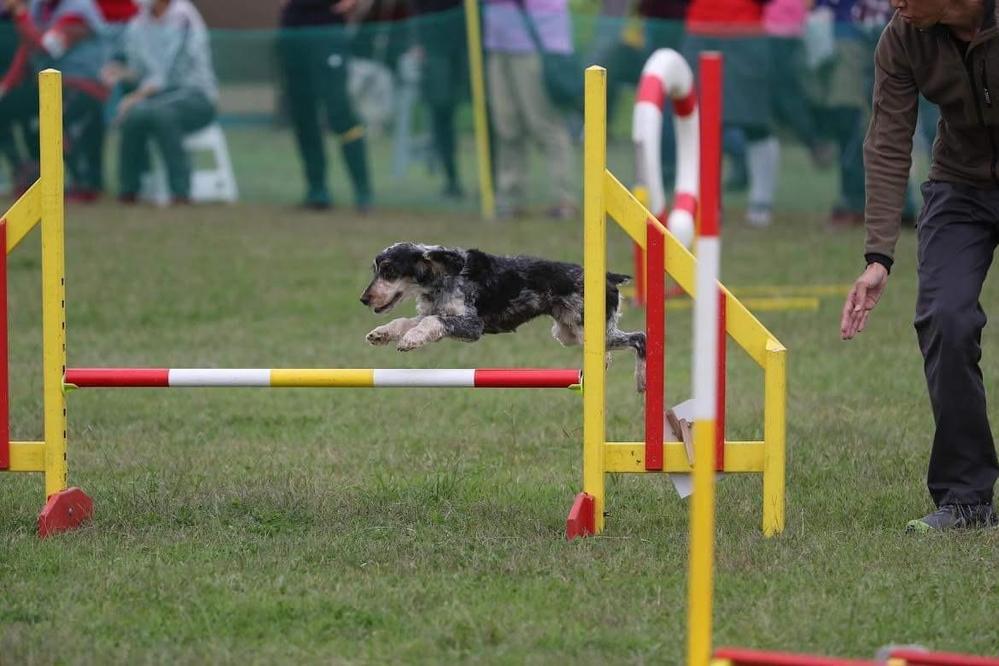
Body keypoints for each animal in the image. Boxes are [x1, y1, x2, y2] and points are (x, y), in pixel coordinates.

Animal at [360, 243, 648, 390]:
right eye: (375, 270)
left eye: (389, 271)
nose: (364, 299)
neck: (444, 275)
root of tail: (609, 277)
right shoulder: (440, 313)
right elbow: (407, 322)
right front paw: (381, 334)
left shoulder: (472, 325)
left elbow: (430, 323)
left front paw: (409, 341)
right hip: (569, 333)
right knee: (612, 351)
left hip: (593, 329)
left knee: (640, 337)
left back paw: (641, 382)